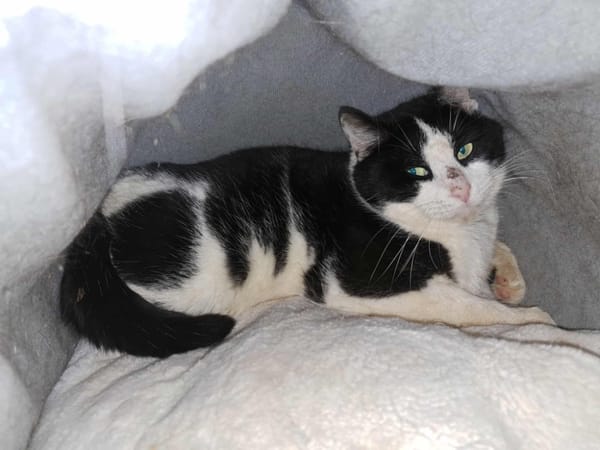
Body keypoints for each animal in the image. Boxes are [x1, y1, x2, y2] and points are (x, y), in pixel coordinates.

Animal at [60, 87, 554, 358]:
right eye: (417, 171)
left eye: (464, 151)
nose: (460, 188)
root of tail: (96, 222)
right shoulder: (355, 280)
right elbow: (465, 306)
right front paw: (534, 322)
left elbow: (492, 257)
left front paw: (507, 279)